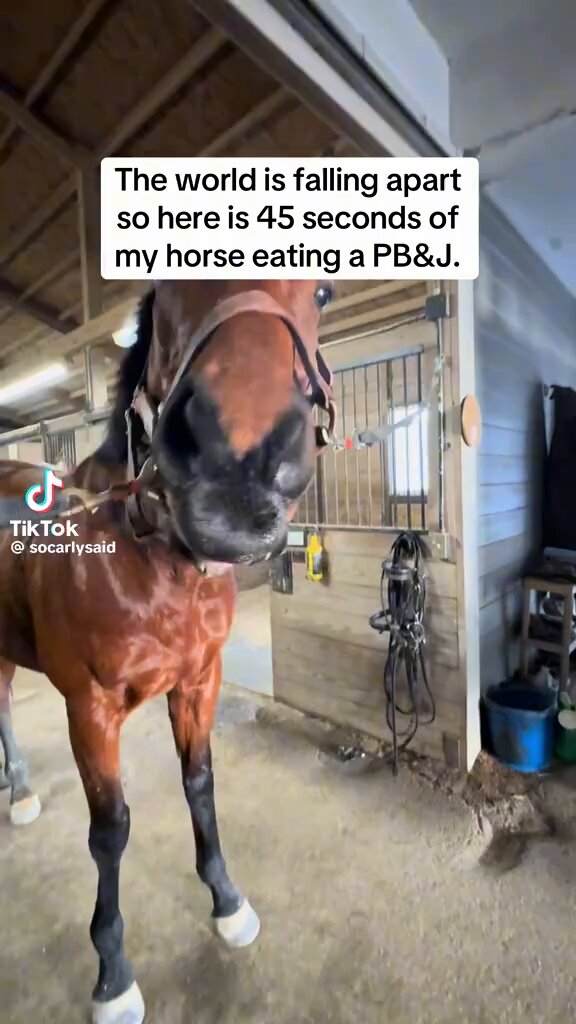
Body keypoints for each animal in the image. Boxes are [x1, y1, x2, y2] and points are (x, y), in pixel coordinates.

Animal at [0, 279, 335, 1024]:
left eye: (322, 291)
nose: (238, 470)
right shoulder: (89, 708)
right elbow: (110, 829)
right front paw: (113, 975)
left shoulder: (198, 681)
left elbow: (200, 785)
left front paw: (228, 903)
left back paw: (19, 788)